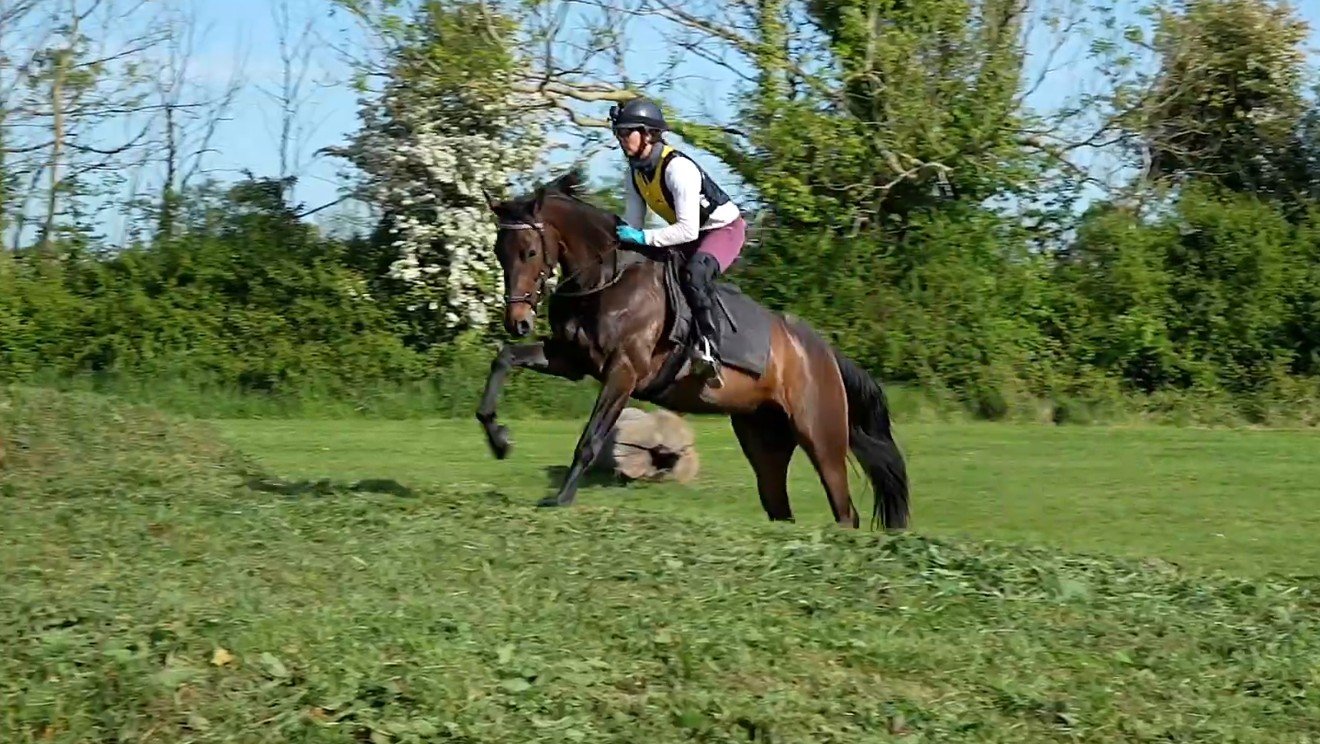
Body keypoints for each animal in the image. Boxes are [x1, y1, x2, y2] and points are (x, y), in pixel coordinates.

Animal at [475, 168, 910, 530]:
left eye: (530, 252)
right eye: (498, 252)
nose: (517, 322)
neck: (605, 280)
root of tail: (824, 354)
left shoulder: (623, 372)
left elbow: (590, 439)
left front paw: (561, 498)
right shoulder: (571, 360)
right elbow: (504, 360)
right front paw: (499, 440)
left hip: (822, 437)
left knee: (845, 511)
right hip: (763, 437)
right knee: (780, 506)